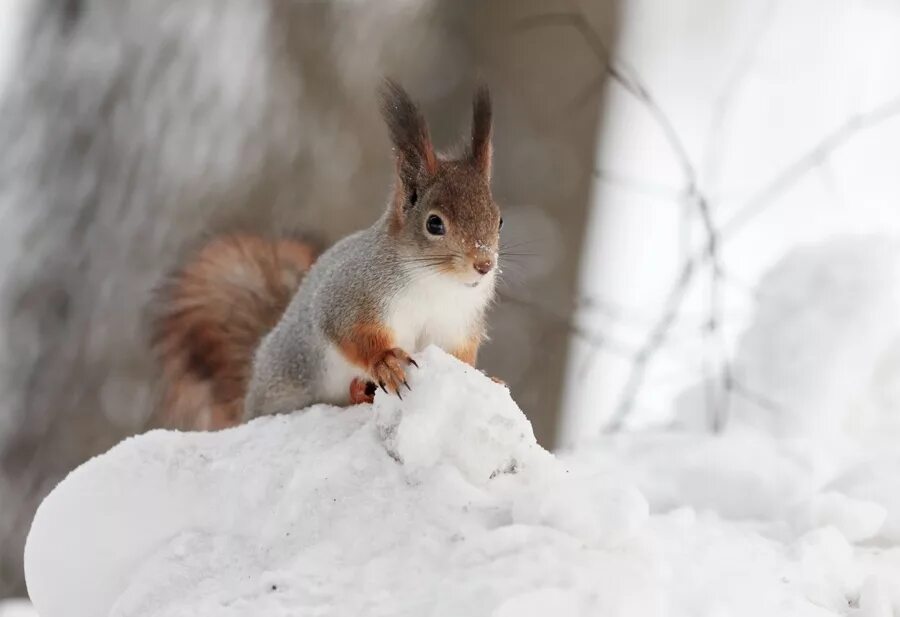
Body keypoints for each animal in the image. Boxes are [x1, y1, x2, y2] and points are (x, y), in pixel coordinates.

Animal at [157, 80, 502, 428]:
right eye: (434, 223)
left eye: (499, 220)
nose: (484, 264)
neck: (437, 285)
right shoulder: (350, 296)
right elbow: (348, 332)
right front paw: (385, 361)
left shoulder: (457, 328)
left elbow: (460, 358)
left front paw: (487, 379)